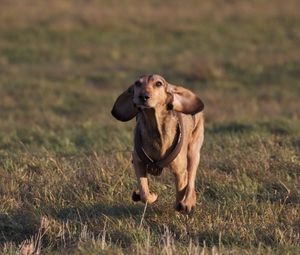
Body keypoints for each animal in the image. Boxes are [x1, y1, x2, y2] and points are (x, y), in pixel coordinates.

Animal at [111, 74, 205, 213]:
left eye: (159, 84)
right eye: (137, 83)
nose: (143, 96)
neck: (155, 128)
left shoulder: (180, 172)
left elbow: (181, 191)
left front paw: (181, 206)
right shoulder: (138, 162)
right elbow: (144, 192)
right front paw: (149, 195)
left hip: (193, 152)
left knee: (191, 180)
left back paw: (188, 202)